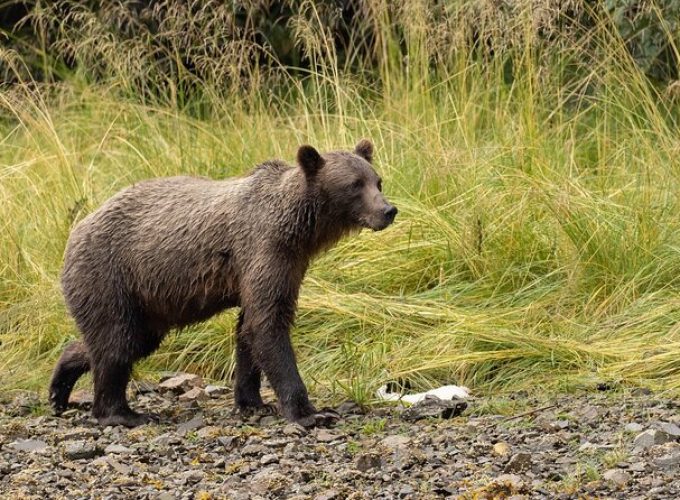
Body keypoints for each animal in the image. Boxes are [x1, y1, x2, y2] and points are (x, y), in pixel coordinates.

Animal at [47, 142, 396, 430]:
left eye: (377, 181)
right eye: (354, 185)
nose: (388, 210)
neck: (299, 229)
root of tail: (76, 229)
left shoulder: (287, 264)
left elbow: (249, 330)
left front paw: (253, 402)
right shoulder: (264, 250)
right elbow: (268, 324)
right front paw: (310, 412)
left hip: (145, 303)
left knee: (123, 341)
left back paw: (59, 388)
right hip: (110, 274)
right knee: (117, 341)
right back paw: (123, 413)